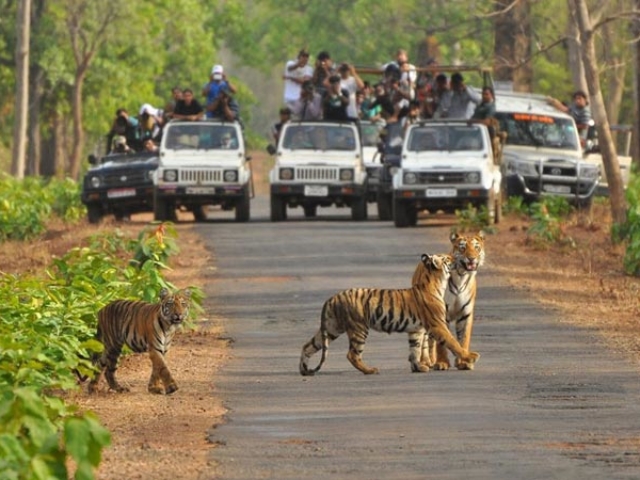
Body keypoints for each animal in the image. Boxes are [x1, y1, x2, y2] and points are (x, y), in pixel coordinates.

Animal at [298, 251, 478, 376]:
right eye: (447, 258)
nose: (456, 257)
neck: (436, 282)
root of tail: (332, 298)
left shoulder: (416, 330)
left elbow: (415, 349)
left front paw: (418, 367)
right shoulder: (438, 325)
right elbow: (453, 342)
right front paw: (470, 357)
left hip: (331, 328)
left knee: (308, 345)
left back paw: (304, 370)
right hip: (358, 328)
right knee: (352, 354)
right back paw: (370, 370)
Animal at [410, 231, 484, 370]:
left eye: (476, 247)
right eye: (462, 247)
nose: (472, 258)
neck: (461, 276)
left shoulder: (465, 314)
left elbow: (463, 338)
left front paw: (464, 362)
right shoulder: (441, 314)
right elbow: (442, 342)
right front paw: (442, 362)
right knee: (425, 340)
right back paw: (425, 362)